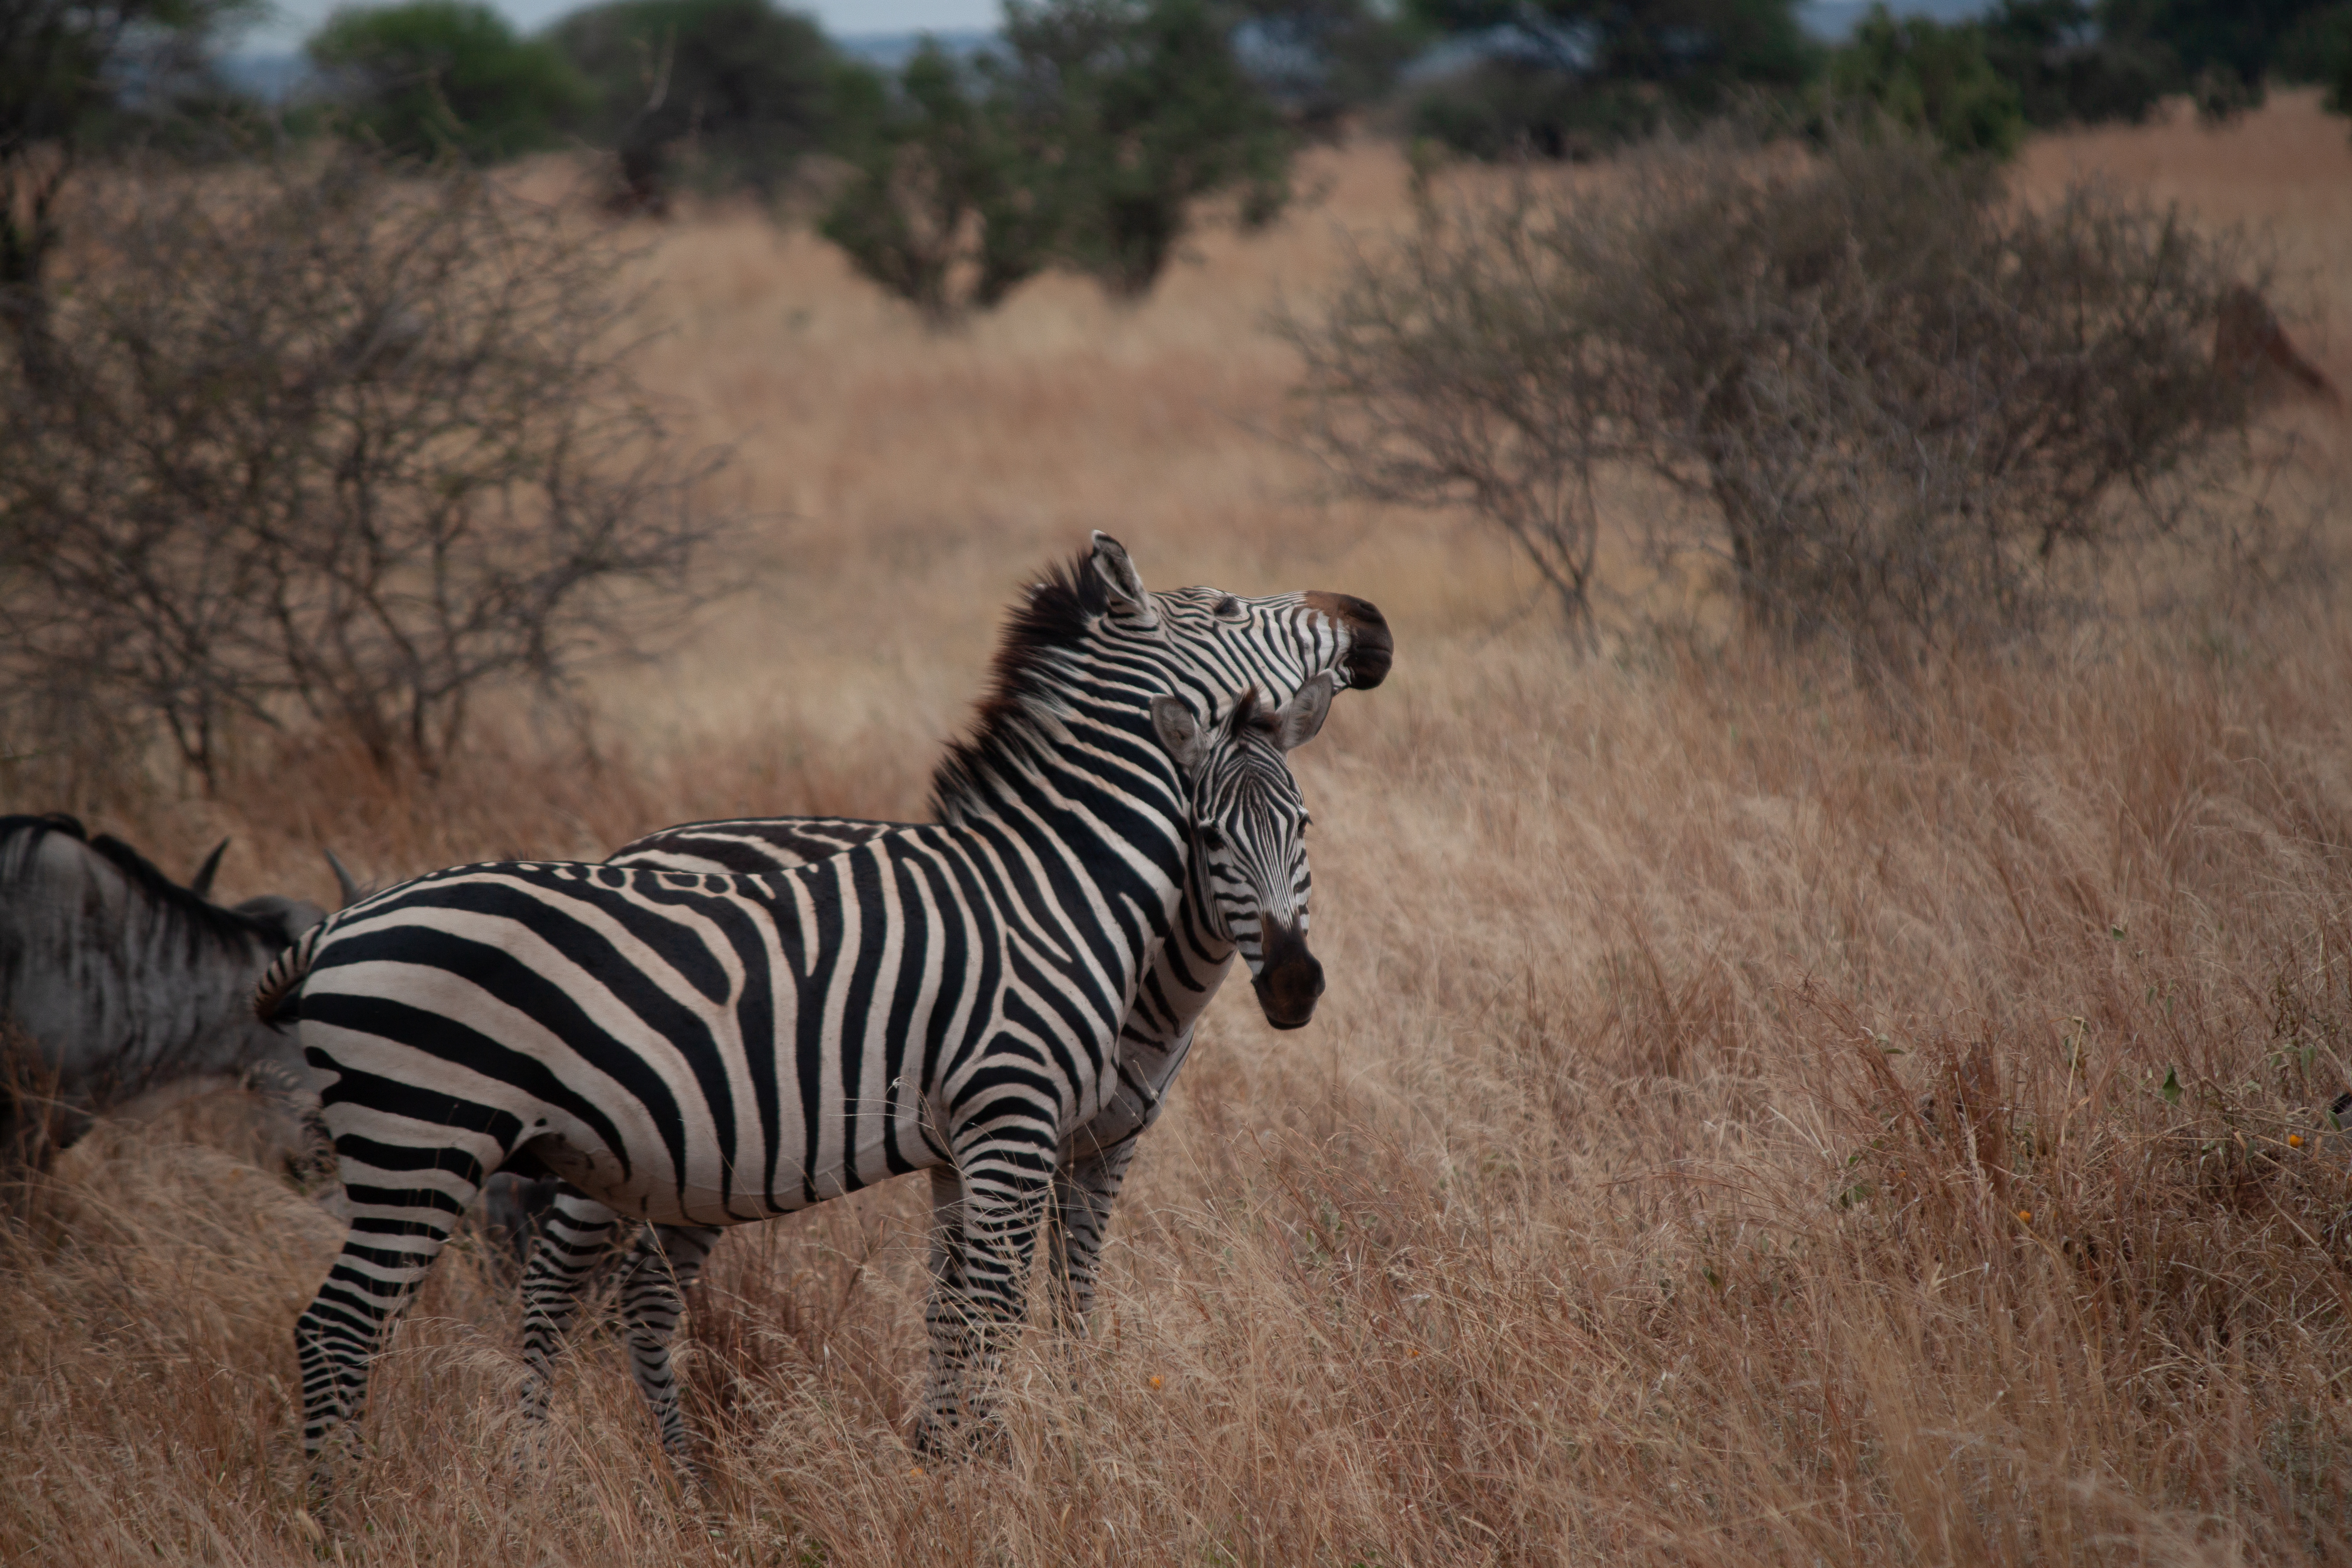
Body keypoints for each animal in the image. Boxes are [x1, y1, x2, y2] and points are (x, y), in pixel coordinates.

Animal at [262, 536, 1373, 1476]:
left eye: (1307, 825)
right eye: (1224, 602)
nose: (1366, 617)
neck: (1058, 881)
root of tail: (336, 925)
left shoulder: (988, 1142)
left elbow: (966, 1310)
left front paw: (954, 1462)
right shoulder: (1014, 1121)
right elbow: (995, 1308)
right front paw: (1007, 1474)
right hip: (426, 1141)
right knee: (350, 1327)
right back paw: (366, 1510)